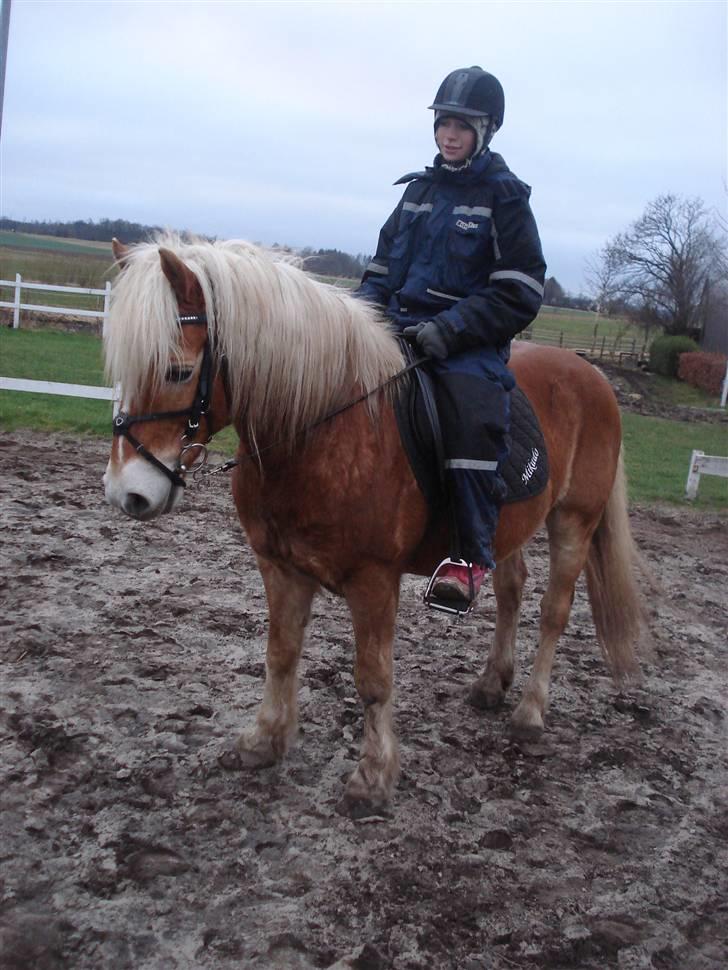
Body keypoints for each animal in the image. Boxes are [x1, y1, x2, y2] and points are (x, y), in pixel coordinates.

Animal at [101, 234, 644, 816]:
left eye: (178, 371)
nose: (128, 492)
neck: (320, 427)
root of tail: (593, 375)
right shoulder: (279, 567)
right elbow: (280, 654)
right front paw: (264, 740)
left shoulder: (374, 581)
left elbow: (373, 680)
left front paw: (373, 776)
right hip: (508, 523)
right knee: (511, 588)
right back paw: (492, 683)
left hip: (574, 521)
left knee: (553, 613)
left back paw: (529, 711)